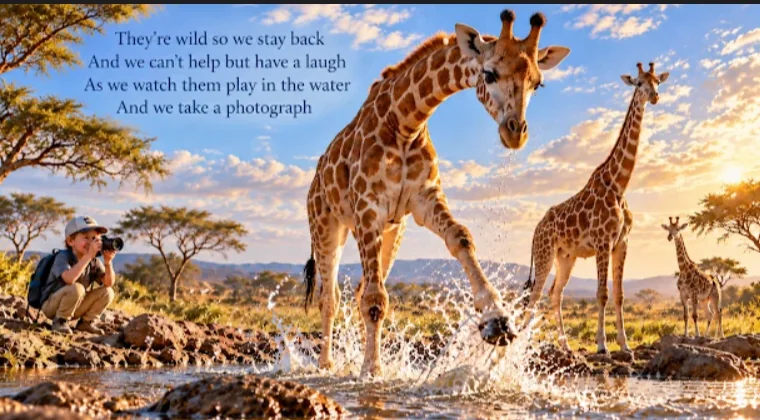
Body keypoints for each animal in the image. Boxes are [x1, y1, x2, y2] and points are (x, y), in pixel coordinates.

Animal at [301, 9, 572, 377]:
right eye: (489, 73)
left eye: (537, 83)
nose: (515, 133)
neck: (404, 122)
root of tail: (314, 180)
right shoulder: (367, 208)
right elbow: (375, 300)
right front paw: (372, 370)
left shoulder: (423, 200)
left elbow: (461, 239)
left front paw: (497, 319)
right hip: (328, 225)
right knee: (329, 297)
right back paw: (326, 363)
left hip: (392, 231)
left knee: (356, 291)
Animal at [521, 62, 670, 355]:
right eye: (639, 83)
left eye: (657, 81)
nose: (655, 96)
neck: (619, 184)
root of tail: (535, 229)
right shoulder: (603, 241)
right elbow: (602, 293)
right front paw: (602, 345)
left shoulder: (622, 243)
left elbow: (619, 295)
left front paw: (625, 345)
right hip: (544, 254)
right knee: (534, 296)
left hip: (566, 257)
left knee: (555, 293)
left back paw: (565, 345)